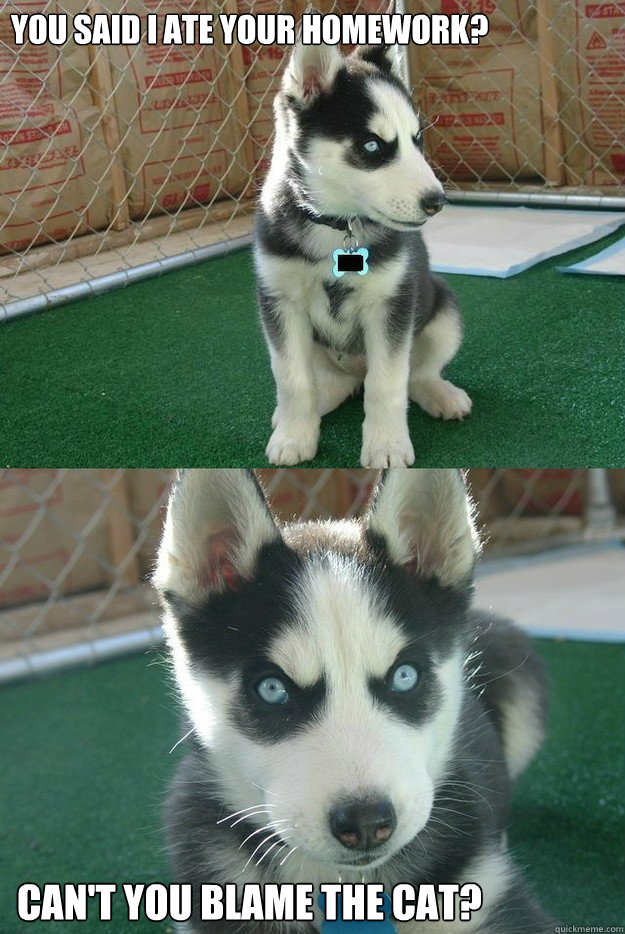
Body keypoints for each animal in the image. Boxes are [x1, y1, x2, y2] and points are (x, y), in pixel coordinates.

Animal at [251, 42, 470, 468]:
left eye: (417, 140)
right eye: (372, 146)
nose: (437, 202)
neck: (337, 225)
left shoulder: (391, 304)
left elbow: (387, 383)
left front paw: (386, 445)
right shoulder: (280, 302)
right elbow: (292, 379)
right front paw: (293, 436)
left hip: (445, 312)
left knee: (414, 375)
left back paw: (441, 394)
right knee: (333, 383)